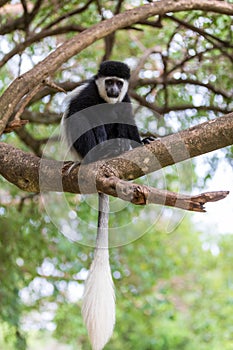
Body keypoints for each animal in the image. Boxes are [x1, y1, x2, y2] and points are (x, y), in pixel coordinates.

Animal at [61, 60, 153, 350]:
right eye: (109, 81)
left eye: (119, 83)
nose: (113, 89)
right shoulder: (88, 92)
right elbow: (79, 114)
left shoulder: (126, 99)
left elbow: (126, 117)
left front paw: (143, 141)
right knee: (87, 122)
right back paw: (101, 152)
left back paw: (123, 148)